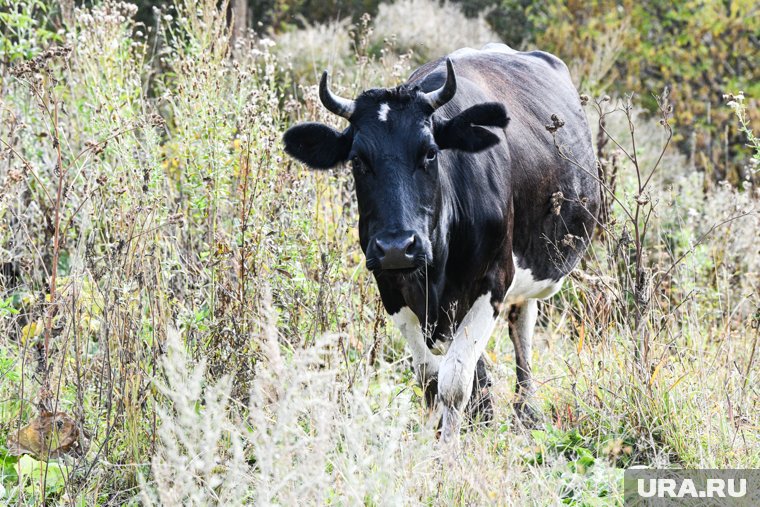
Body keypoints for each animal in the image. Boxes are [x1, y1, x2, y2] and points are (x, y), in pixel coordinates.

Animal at [284, 44, 600, 444]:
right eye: (357, 160)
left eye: (431, 152)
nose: (396, 246)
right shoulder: (390, 286)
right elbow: (430, 377)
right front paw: (435, 437)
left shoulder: (494, 280)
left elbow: (453, 381)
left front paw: (448, 447)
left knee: (522, 331)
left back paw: (525, 412)